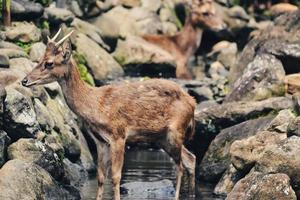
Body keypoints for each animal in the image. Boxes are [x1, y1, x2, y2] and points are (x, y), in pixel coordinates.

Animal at [22, 28, 198, 200]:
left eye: (49, 63)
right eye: (39, 59)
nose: (24, 80)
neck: (95, 104)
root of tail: (192, 102)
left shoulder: (118, 134)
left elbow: (116, 177)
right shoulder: (100, 141)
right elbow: (100, 177)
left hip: (176, 130)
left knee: (180, 166)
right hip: (161, 137)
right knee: (190, 159)